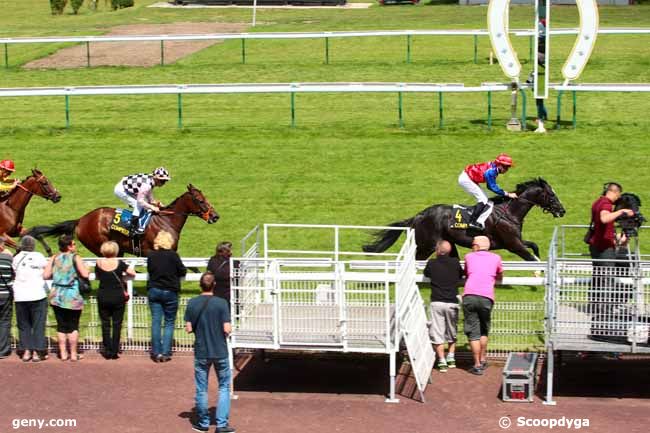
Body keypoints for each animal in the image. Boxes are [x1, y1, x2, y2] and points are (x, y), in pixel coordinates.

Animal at [362, 176, 564, 260]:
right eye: (551, 195)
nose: (562, 211)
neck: (509, 212)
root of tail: (419, 216)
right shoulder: (513, 245)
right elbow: (530, 258)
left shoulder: (515, 241)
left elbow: (533, 246)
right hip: (427, 245)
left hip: (448, 243)